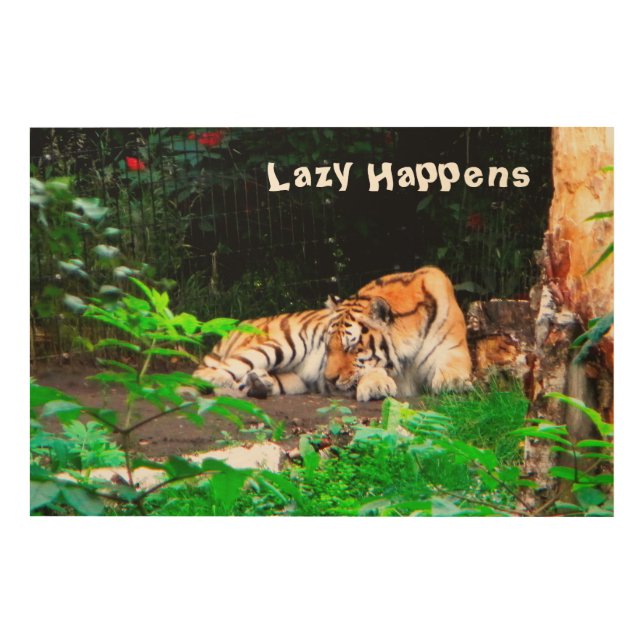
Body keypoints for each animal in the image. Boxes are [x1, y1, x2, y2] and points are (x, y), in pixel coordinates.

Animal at [323, 266, 473, 401]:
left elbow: (452, 364)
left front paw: (453, 382)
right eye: (328, 347)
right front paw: (375, 385)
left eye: (351, 347)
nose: (329, 380)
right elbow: (369, 368)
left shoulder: (452, 347)